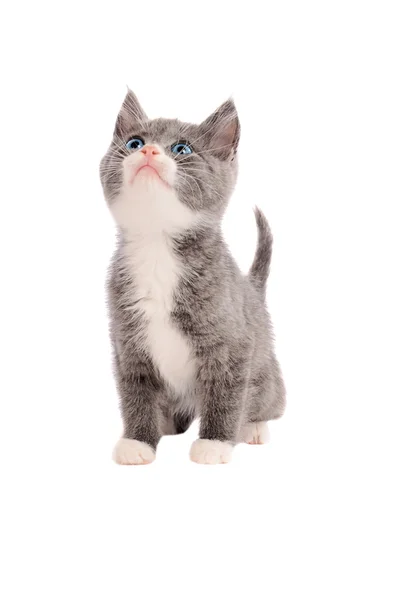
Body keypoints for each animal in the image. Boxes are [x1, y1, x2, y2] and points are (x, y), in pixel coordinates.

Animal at [99, 90, 284, 464]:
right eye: (134, 142)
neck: (157, 247)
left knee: (268, 400)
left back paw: (253, 426)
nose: (148, 152)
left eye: (181, 149)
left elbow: (226, 393)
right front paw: (138, 440)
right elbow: (135, 393)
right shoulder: (126, 344)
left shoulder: (234, 346)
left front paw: (215, 443)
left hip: (267, 373)